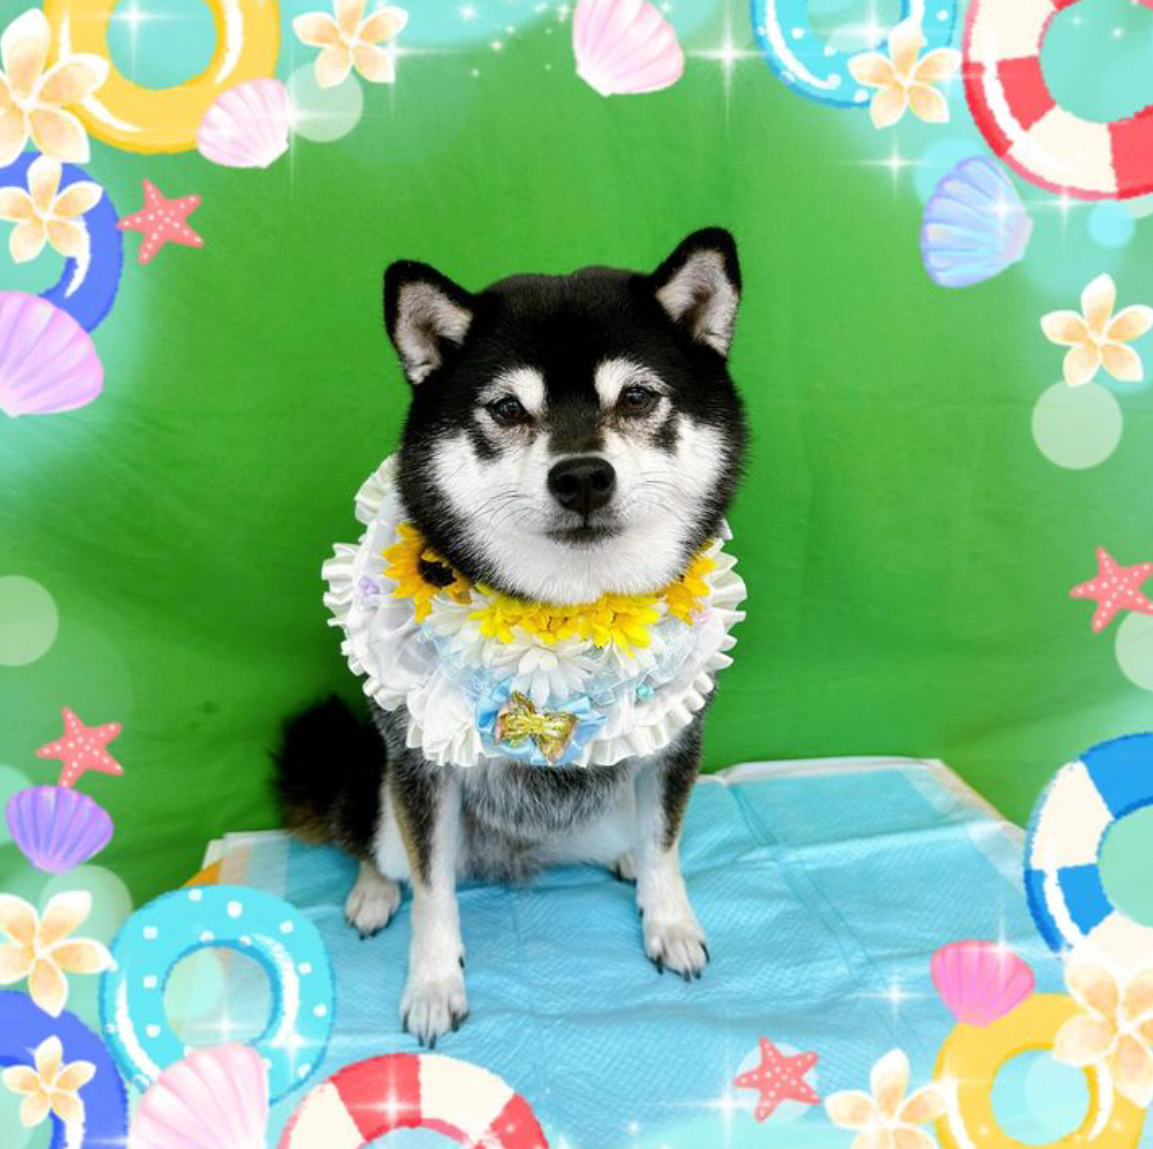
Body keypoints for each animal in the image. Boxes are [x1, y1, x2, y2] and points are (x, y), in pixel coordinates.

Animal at [275, 228, 748, 1046]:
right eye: (505, 407)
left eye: (635, 397)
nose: (582, 476)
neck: (565, 610)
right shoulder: (421, 764)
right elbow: (433, 893)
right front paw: (433, 983)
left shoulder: (675, 739)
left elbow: (665, 843)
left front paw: (669, 923)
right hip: (382, 785)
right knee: (374, 839)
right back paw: (371, 892)